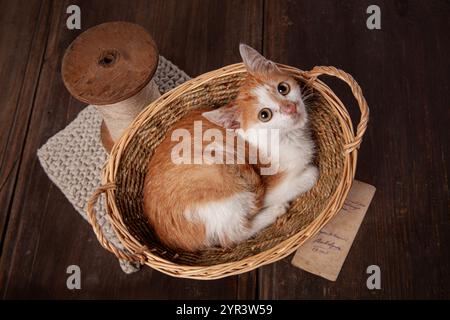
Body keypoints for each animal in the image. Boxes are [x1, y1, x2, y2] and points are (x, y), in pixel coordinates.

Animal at [142, 43, 318, 251]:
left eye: (283, 88)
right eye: (265, 115)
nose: (290, 108)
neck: (287, 137)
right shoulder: (270, 188)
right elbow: (307, 176)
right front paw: (309, 173)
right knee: (232, 235)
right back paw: (274, 211)